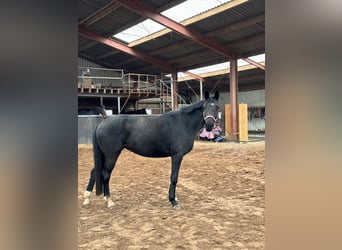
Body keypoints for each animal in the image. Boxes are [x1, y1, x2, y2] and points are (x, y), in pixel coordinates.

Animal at [84, 91, 220, 208]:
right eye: (204, 107)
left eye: (217, 107)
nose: (209, 125)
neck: (183, 123)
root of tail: (104, 121)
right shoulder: (177, 155)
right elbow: (174, 177)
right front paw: (173, 201)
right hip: (111, 155)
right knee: (105, 174)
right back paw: (109, 200)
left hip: (104, 155)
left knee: (95, 172)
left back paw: (87, 198)